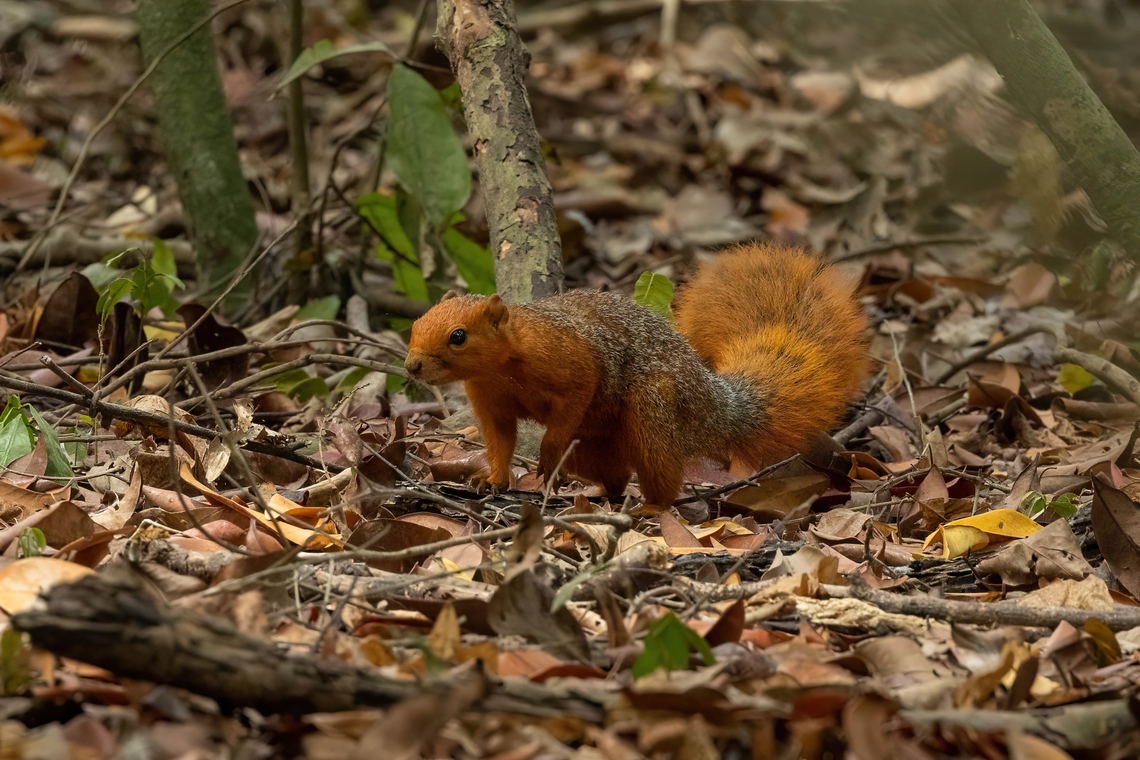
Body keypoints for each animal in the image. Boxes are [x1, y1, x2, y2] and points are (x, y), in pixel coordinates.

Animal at [404, 243, 869, 511]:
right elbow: (500, 441)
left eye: (458, 336)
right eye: (416, 323)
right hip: (599, 447)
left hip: (654, 409)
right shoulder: (490, 399)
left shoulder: (570, 362)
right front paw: (493, 479)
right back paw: (599, 495)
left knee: (661, 475)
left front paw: (548, 456)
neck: (502, 366)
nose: (411, 366)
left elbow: (576, 397)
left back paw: (649, 508)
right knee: (616, 476)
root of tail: (714, 405)